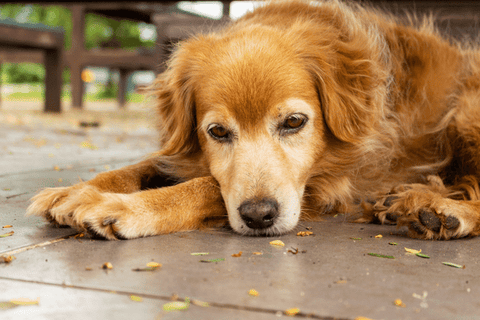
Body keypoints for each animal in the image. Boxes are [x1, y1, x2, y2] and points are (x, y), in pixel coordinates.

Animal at [28, 0, 480, 240]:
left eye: (294, 123)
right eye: (217, 132)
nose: (259, 216)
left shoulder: (328, 184)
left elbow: (205, 186)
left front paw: (119, 207)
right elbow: (144, 166)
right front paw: (75, 190)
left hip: (465, 111)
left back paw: (440, 211)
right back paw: (411, 199)